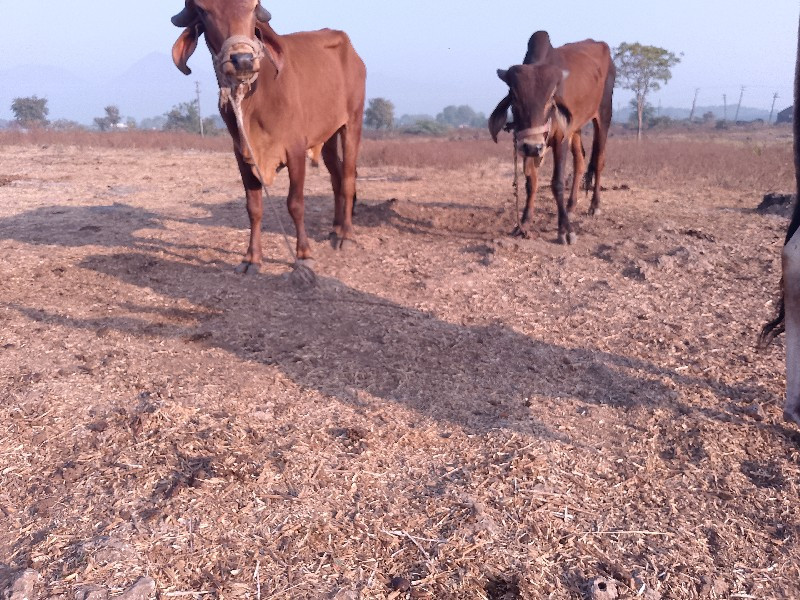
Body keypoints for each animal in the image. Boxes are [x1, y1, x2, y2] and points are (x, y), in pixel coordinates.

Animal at [173, 1, 368, 274]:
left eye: (253, 8)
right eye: (203, 11)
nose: (242, 59)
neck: (255, 99)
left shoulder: (295, 149)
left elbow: (295, 204)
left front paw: (303, 254)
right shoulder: (242, 154)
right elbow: (253, 208)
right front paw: (252, 258)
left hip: (352, 122)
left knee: (349, 177)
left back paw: (346, 235)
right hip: (327, 136)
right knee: (336, 177)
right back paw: (336, 228)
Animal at [488, 31, 612, 244]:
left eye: (550, 98)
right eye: (514, 97)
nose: (533, 146)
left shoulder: (559, 139)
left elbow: (557, 183)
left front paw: (565, 230)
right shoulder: (527, 143)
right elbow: (531, 182)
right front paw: (524, 223)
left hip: (603, 115)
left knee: (598, 161)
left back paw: (594, 206)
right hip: (575, 128)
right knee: (580, 162)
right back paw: (570, 207)